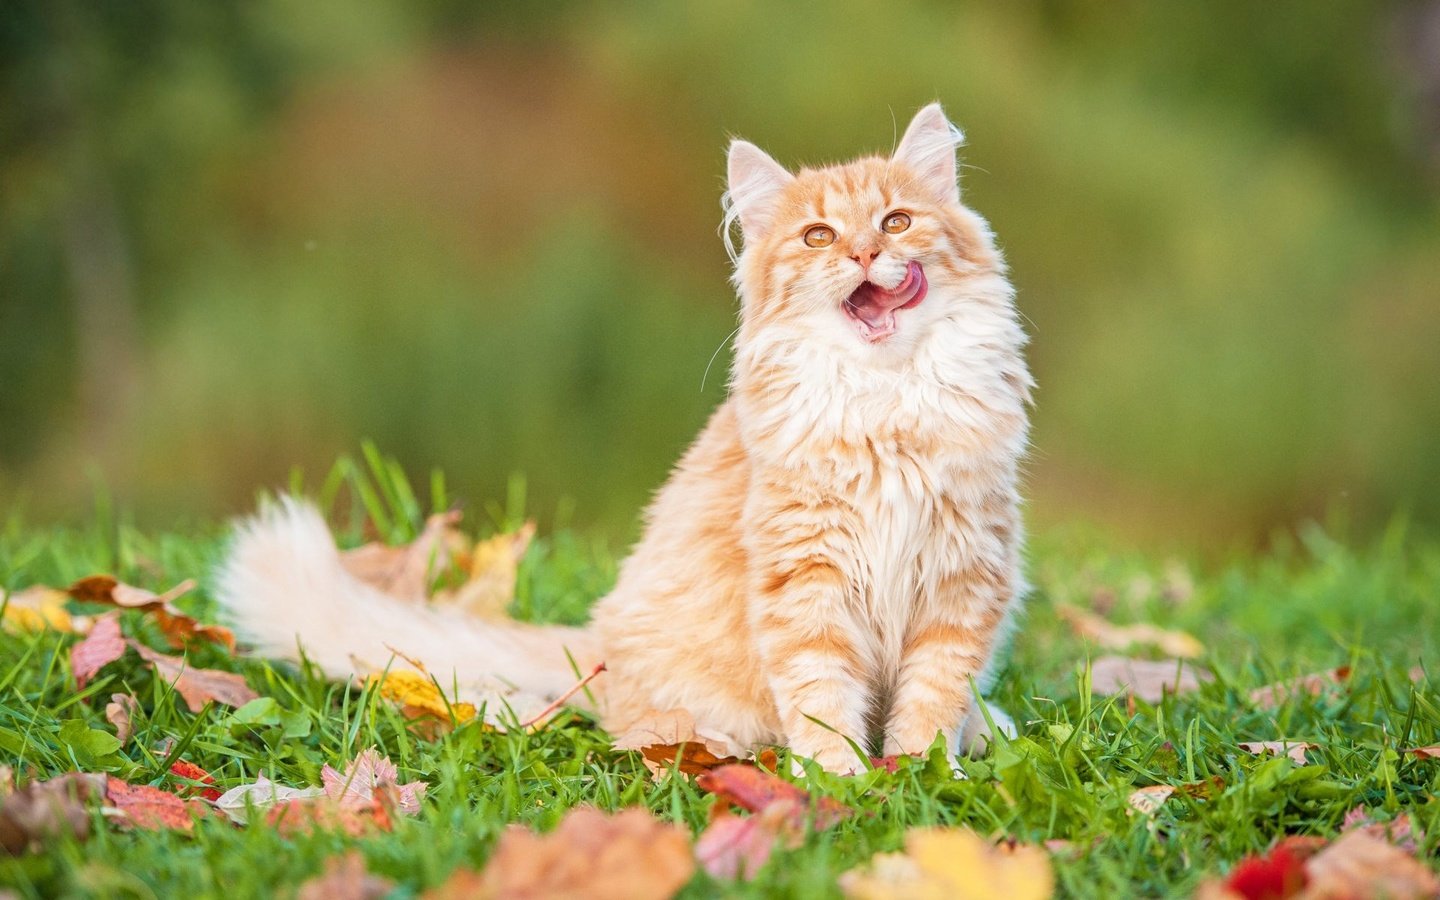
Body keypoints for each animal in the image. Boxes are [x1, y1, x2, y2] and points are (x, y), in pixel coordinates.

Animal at [213, 103, 1031, 771]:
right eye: (818, 236)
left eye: (895, 222)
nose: (863, 254)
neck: (886, 406)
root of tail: (598, 642)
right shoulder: (806, 580)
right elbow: (822, 700)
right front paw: (844, 782)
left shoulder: (965, 578)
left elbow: (931, 699)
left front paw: (926, 775)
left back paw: (986, 730)